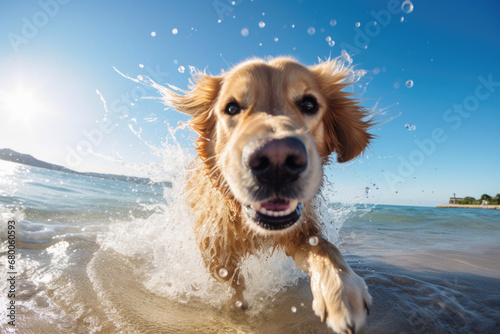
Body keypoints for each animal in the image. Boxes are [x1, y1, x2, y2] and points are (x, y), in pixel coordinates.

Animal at [154, 56, 374, 332]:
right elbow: (233, 286)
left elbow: (325, 248)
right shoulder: (215, 250)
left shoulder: (299, 233)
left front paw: (341, 291)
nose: (277, 161)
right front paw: (235, 313)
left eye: (309, 104)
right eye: (232, 107)